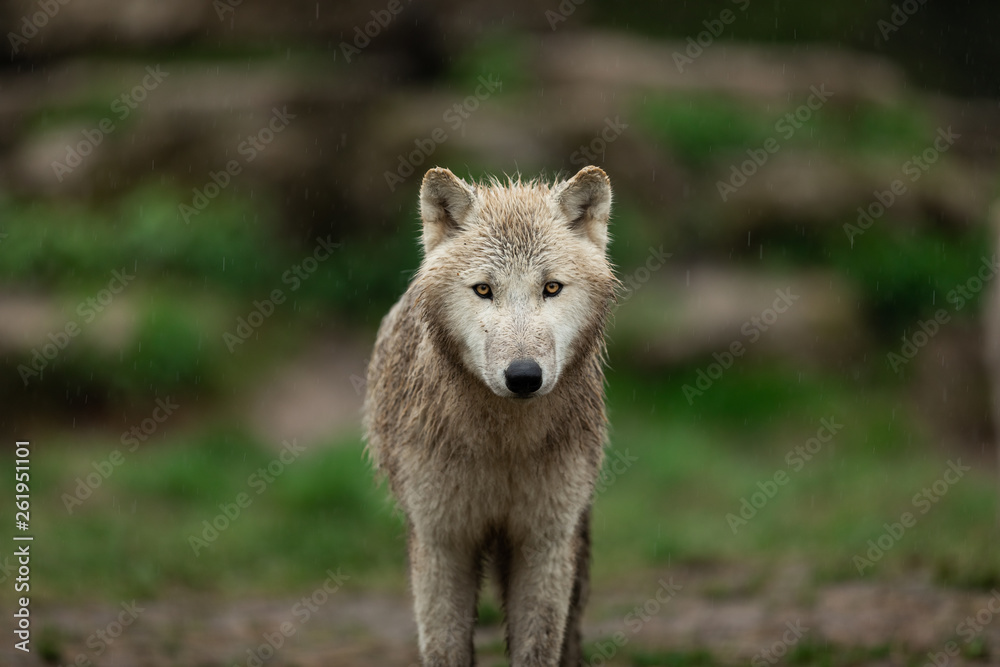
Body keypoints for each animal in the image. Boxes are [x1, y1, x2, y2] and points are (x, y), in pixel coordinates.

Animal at [363, 165, 619, 666]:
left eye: (551, 288)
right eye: (484, 290)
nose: (523, 376)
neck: (505, 445)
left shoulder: (544, 542)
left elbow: (537, 647)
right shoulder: (442, 542)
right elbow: (445, 648)